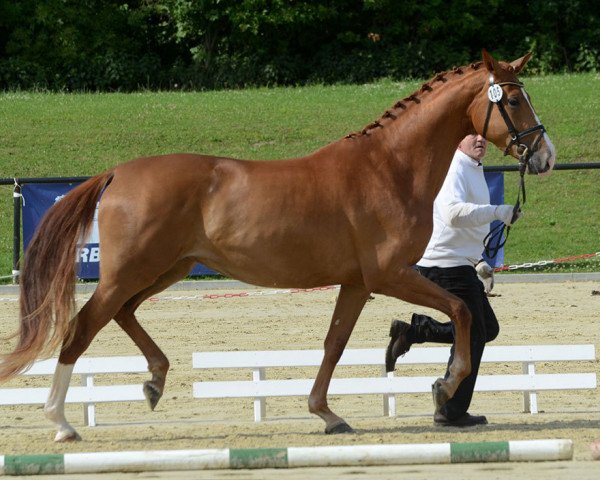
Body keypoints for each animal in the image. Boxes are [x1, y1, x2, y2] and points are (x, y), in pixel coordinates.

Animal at [1, 49, 552, 442]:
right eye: (513, 100)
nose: (544, 155)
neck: (389, 168)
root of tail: (118, 172)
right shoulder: (390, 275)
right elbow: (461, 310)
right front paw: (445, 383)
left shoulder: (357, 284)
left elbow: (334, 343)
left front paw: (327, 414)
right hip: (130, 272)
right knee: (82, 328)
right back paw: (62, 423)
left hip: (165, 270)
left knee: (123, 314)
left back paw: (154, 381)